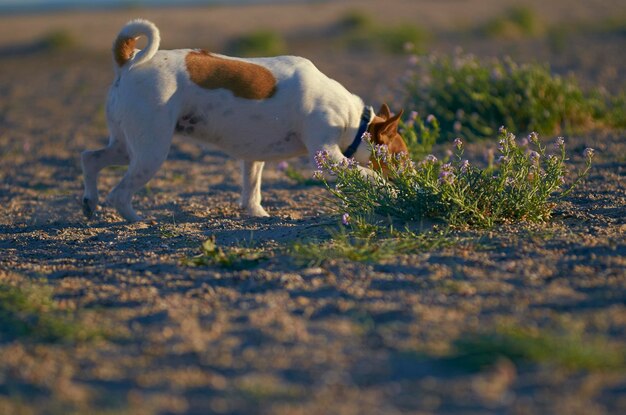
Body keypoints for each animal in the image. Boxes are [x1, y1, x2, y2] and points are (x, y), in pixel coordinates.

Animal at [80, 19, 408, 221]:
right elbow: (370, 174)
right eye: (400, 157)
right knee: (119, 194)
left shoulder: (254, 159)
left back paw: (89, 202)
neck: (354, 120)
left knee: (90, 158)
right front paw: (390, 191)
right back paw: (136, 219)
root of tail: (129, 61)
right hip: (151, 152)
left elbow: (252, 189)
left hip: (127, 147)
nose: (413, 177)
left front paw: (257, 213)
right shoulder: (326, 155)